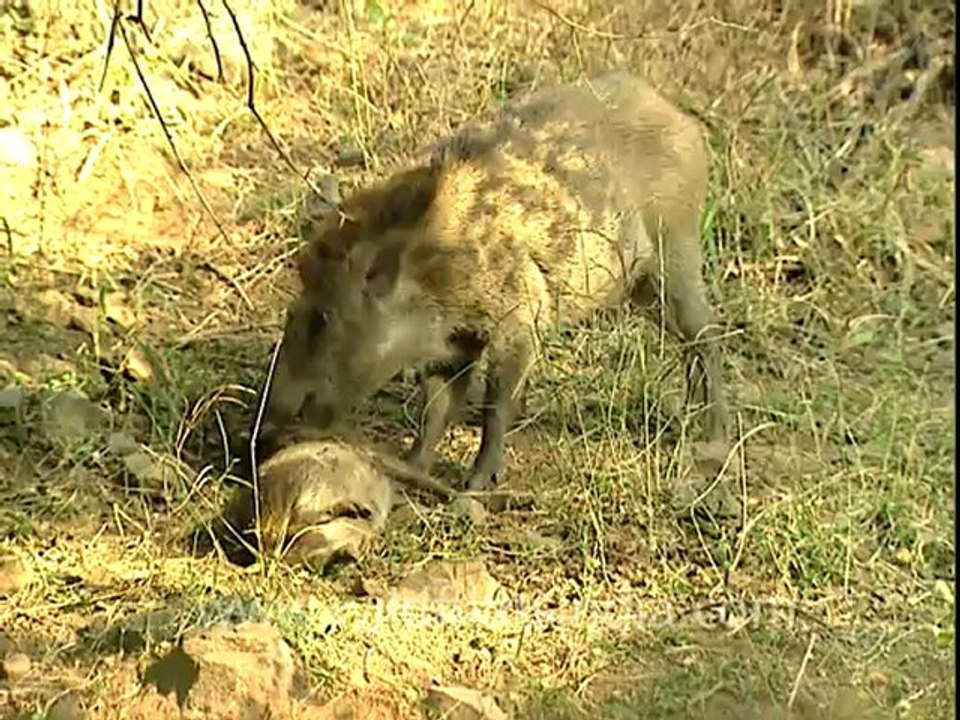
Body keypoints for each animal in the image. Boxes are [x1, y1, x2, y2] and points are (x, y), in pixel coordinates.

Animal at [261, 70, 730, 492]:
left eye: (323, 317)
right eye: (292, 309)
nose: (264, 428)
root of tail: (682, 119)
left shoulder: (519, 320)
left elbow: (495, 404)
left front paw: (475, 485)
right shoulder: (451, 344)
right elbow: (437, 406)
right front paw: (413, 467)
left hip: (678, 254)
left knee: (706, 338)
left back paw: (712, 440)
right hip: (643, 286)